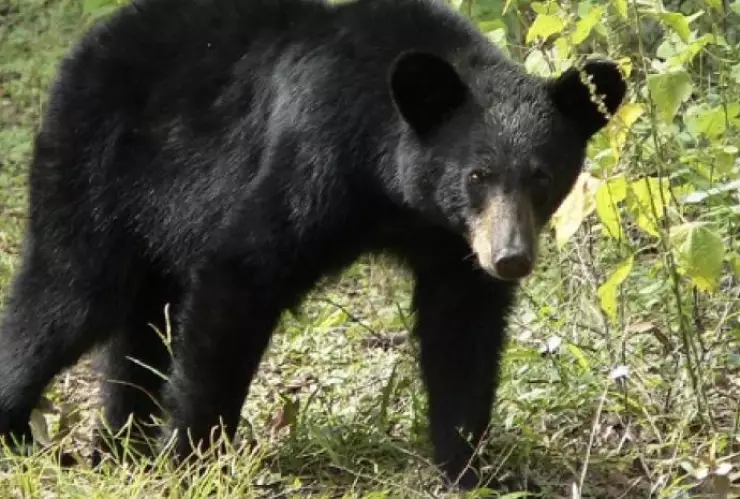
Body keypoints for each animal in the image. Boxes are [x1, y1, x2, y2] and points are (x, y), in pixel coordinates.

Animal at [0, 0, 626, 490]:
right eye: (478, 175)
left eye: (542, 176)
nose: (510, 258)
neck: (391, 185)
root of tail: (89, 44)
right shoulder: (314, 156)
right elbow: (240, 273)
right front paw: (193, 459)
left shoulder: (450, 242)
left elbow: (461, 332)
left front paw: (471, 470)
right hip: (95, 171)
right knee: (65, 295)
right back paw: (22, 428)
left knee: (138, 326)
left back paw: (120, 445)